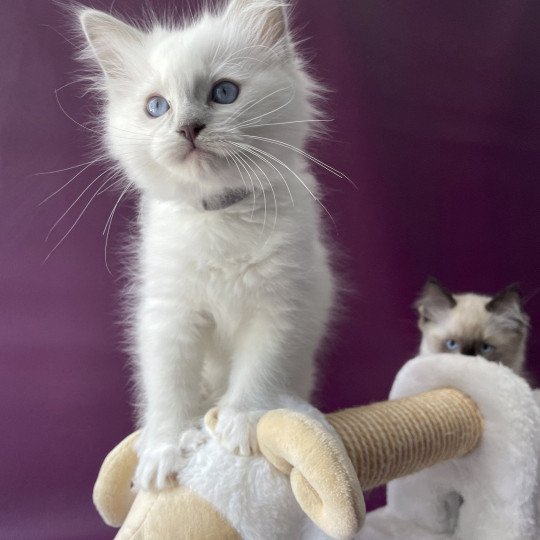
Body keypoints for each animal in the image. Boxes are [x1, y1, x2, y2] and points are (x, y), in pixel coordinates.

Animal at [78, 0, 336, 490]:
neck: (220, 216)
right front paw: (164, 451)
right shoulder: (170, 315)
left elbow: (259, 370)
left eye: (224, 93)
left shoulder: (280, 306)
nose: (188, 128)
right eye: (156, 107)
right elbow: (169, 387)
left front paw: (240, 426)